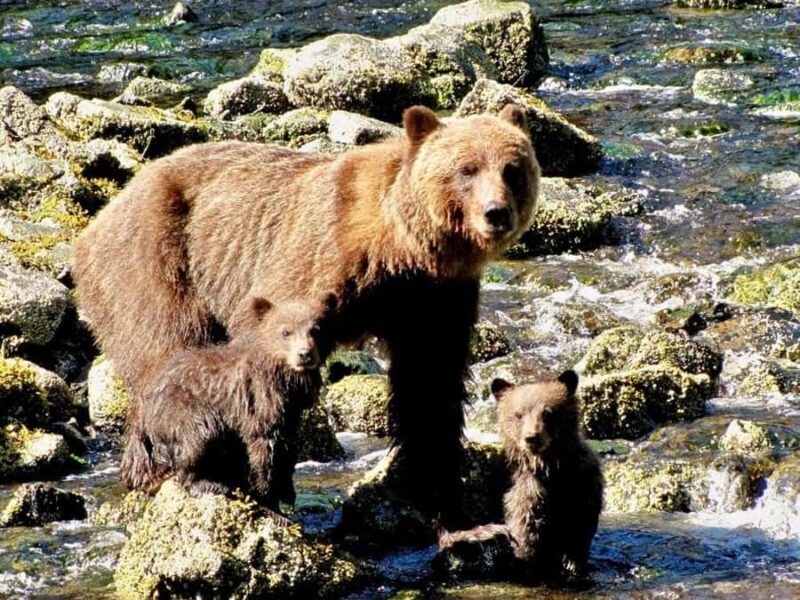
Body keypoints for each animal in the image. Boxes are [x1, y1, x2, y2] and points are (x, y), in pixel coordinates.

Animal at [120, 294, 334, 519]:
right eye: (286, 331)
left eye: (316, 329)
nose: (305, 354)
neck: (284, 379)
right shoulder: (257, 402)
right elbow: (262, 451)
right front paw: (271, 506)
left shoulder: (291, 411)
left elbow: (286, 448)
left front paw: (287, 492)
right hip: (183, 411)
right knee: (199, 438)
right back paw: (210, 484)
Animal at [438, 371, 603, 582]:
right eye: (518, 414)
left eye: (548, 412)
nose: (532, 437)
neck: (548, 467)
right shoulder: (524, 492)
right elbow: (526, 530)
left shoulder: (581, 482)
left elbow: (579, 529)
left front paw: (573, 565)